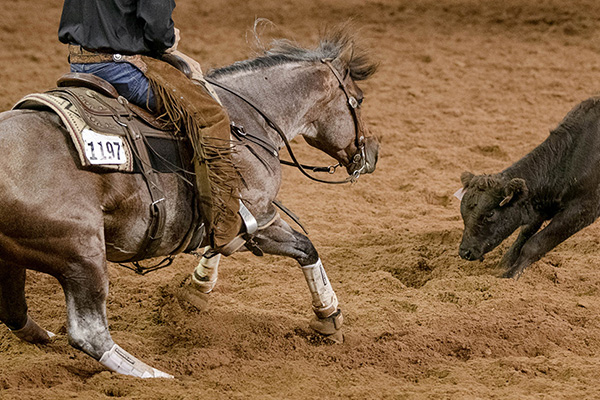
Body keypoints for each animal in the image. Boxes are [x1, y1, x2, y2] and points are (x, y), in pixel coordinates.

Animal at [0, 29, 378, 380]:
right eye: (358, 100)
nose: (372, 153)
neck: (246, 119)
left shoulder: (237, 216)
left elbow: (222, 244)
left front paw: (195, 291)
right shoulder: (260, 215)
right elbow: (305, 247)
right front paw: (329, 318)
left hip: (16, 258)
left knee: (14, 312)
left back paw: (46, 337)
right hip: (83, 254)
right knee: (89, 334)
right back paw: (156, 376)